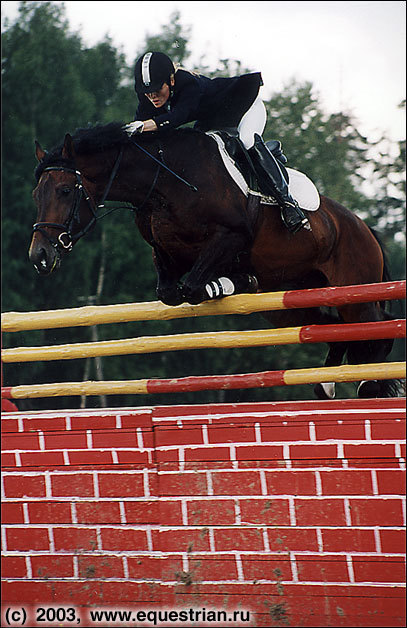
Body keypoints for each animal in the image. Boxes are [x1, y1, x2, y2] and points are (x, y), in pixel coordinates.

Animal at [29, 122, 402, 398]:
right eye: (36, 194)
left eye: (65, 190)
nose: (40, 256)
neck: (166, 181)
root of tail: (364, 228)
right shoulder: (165, 252)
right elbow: (170, 291)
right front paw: (235, 282)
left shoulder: (231, 236)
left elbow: (193, 286)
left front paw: (230, 282)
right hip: (286, 302)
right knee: (331, 329)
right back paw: (326, 383)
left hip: (355, 292)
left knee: (375, 330)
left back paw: (369, 384)